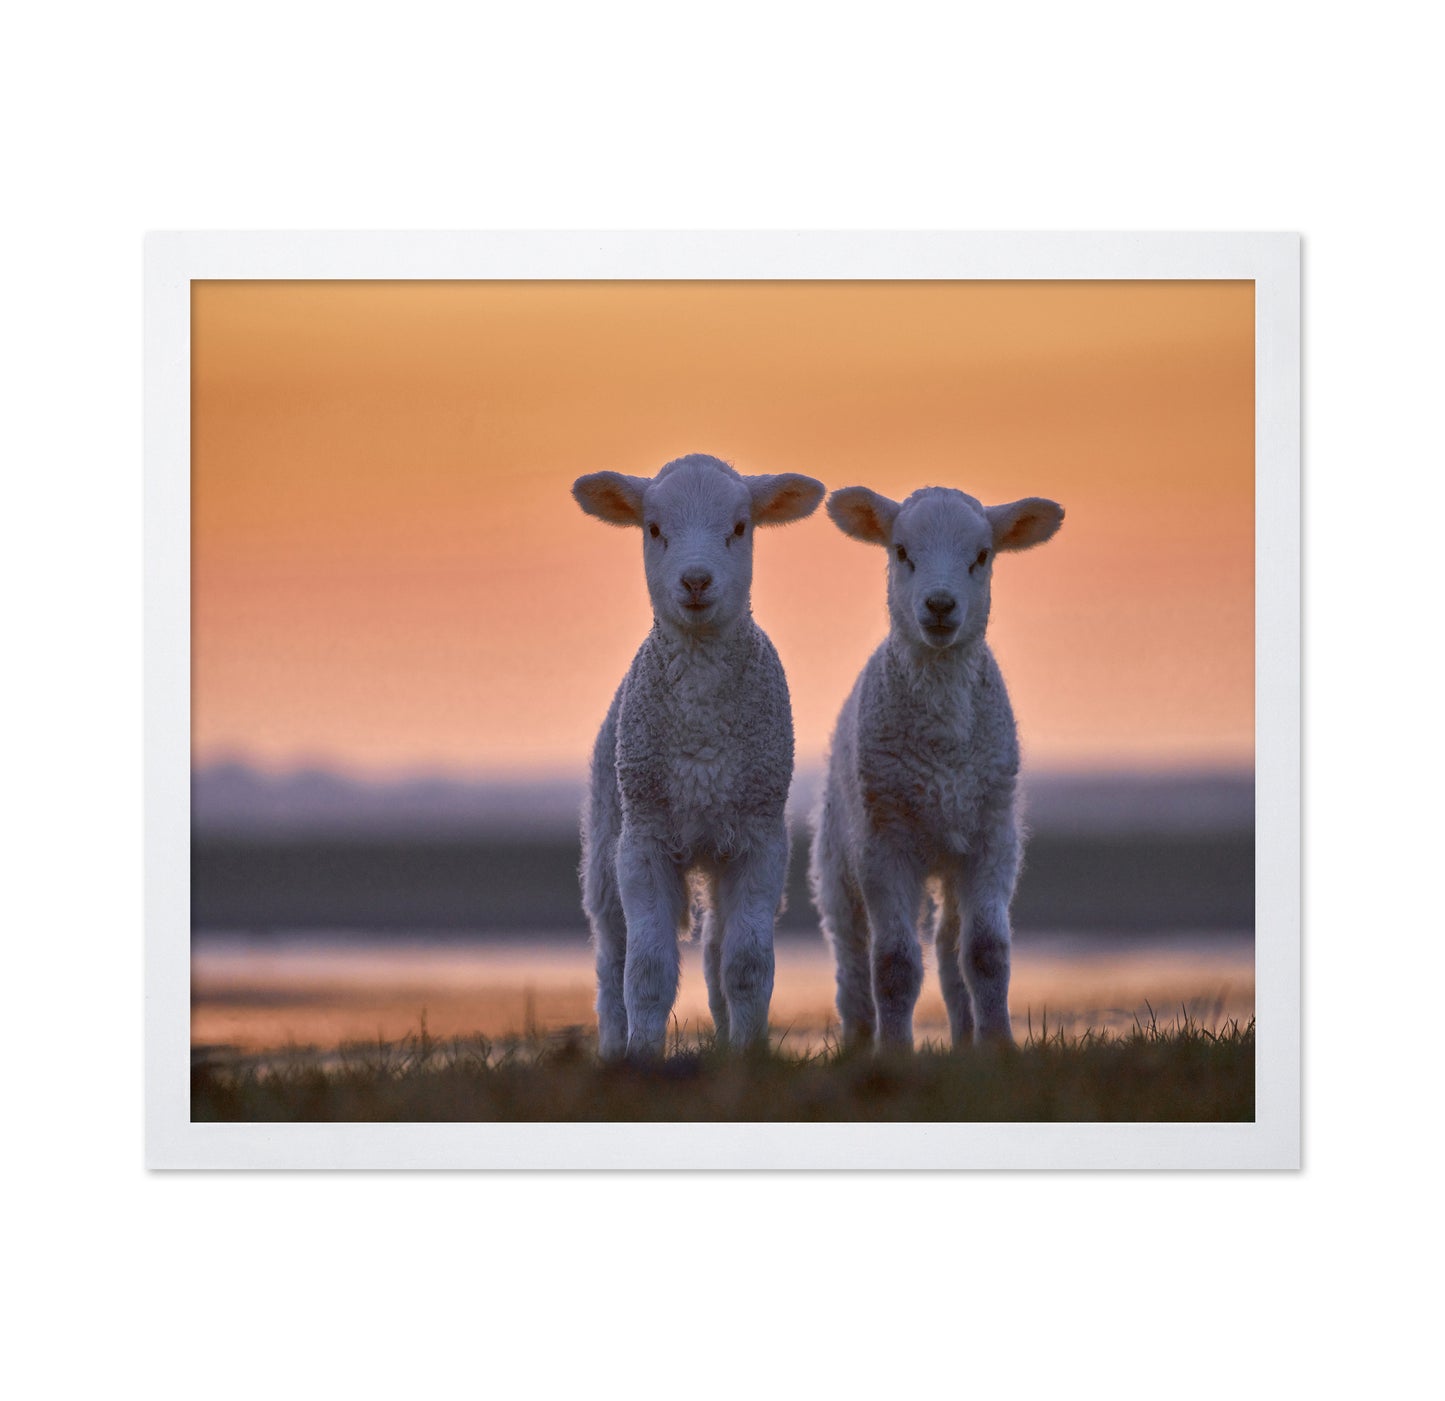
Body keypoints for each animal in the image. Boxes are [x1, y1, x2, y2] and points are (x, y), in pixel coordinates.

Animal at [572, 453, 825, 1059]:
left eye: (739, 527)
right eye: (653, 529)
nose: (695, 580)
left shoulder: (760, 839)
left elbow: (747, 966)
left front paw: (749, 1055)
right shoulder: (643, 841)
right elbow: (646, 971)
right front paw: (642, 1056)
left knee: (714, 952)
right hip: (606, 841)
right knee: (610, 959)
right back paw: (612, 1046)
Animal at [809, 484, 1064, 1052]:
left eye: (982, 556)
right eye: (901, 551)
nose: (941, 605)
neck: (943, 747)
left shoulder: (993, 838)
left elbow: (986, 954)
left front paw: (999, 1047)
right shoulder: (884, 844)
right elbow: (894, 964)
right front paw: (894, 1052)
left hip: (952, 855)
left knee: (950, 948)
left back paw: (966, 1039)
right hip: (838, 855)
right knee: (851, 955)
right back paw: (859, 1040)